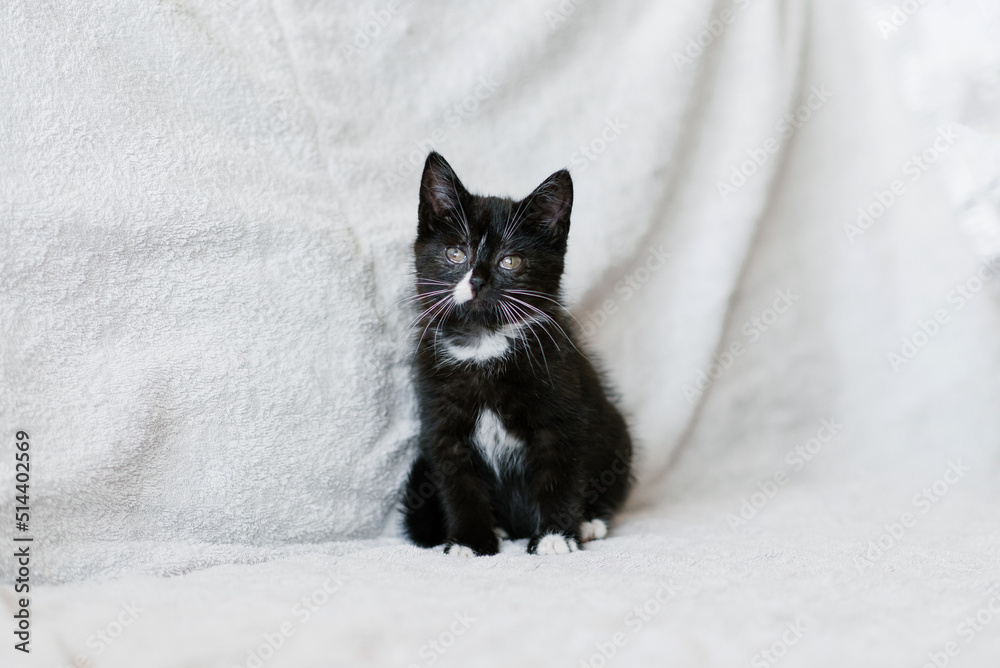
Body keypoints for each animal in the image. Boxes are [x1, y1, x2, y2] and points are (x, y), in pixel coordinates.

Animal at [400, 154, 628, 556]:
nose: (477, 281)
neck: (484, 343)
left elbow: (561, 473)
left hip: (617, 433)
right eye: (455, 253)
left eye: (510, 262)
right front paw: (470, 541)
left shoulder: (564, 407)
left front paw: (555, 536)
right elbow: (459, 485)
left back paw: (589, 523)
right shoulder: (442, 424)